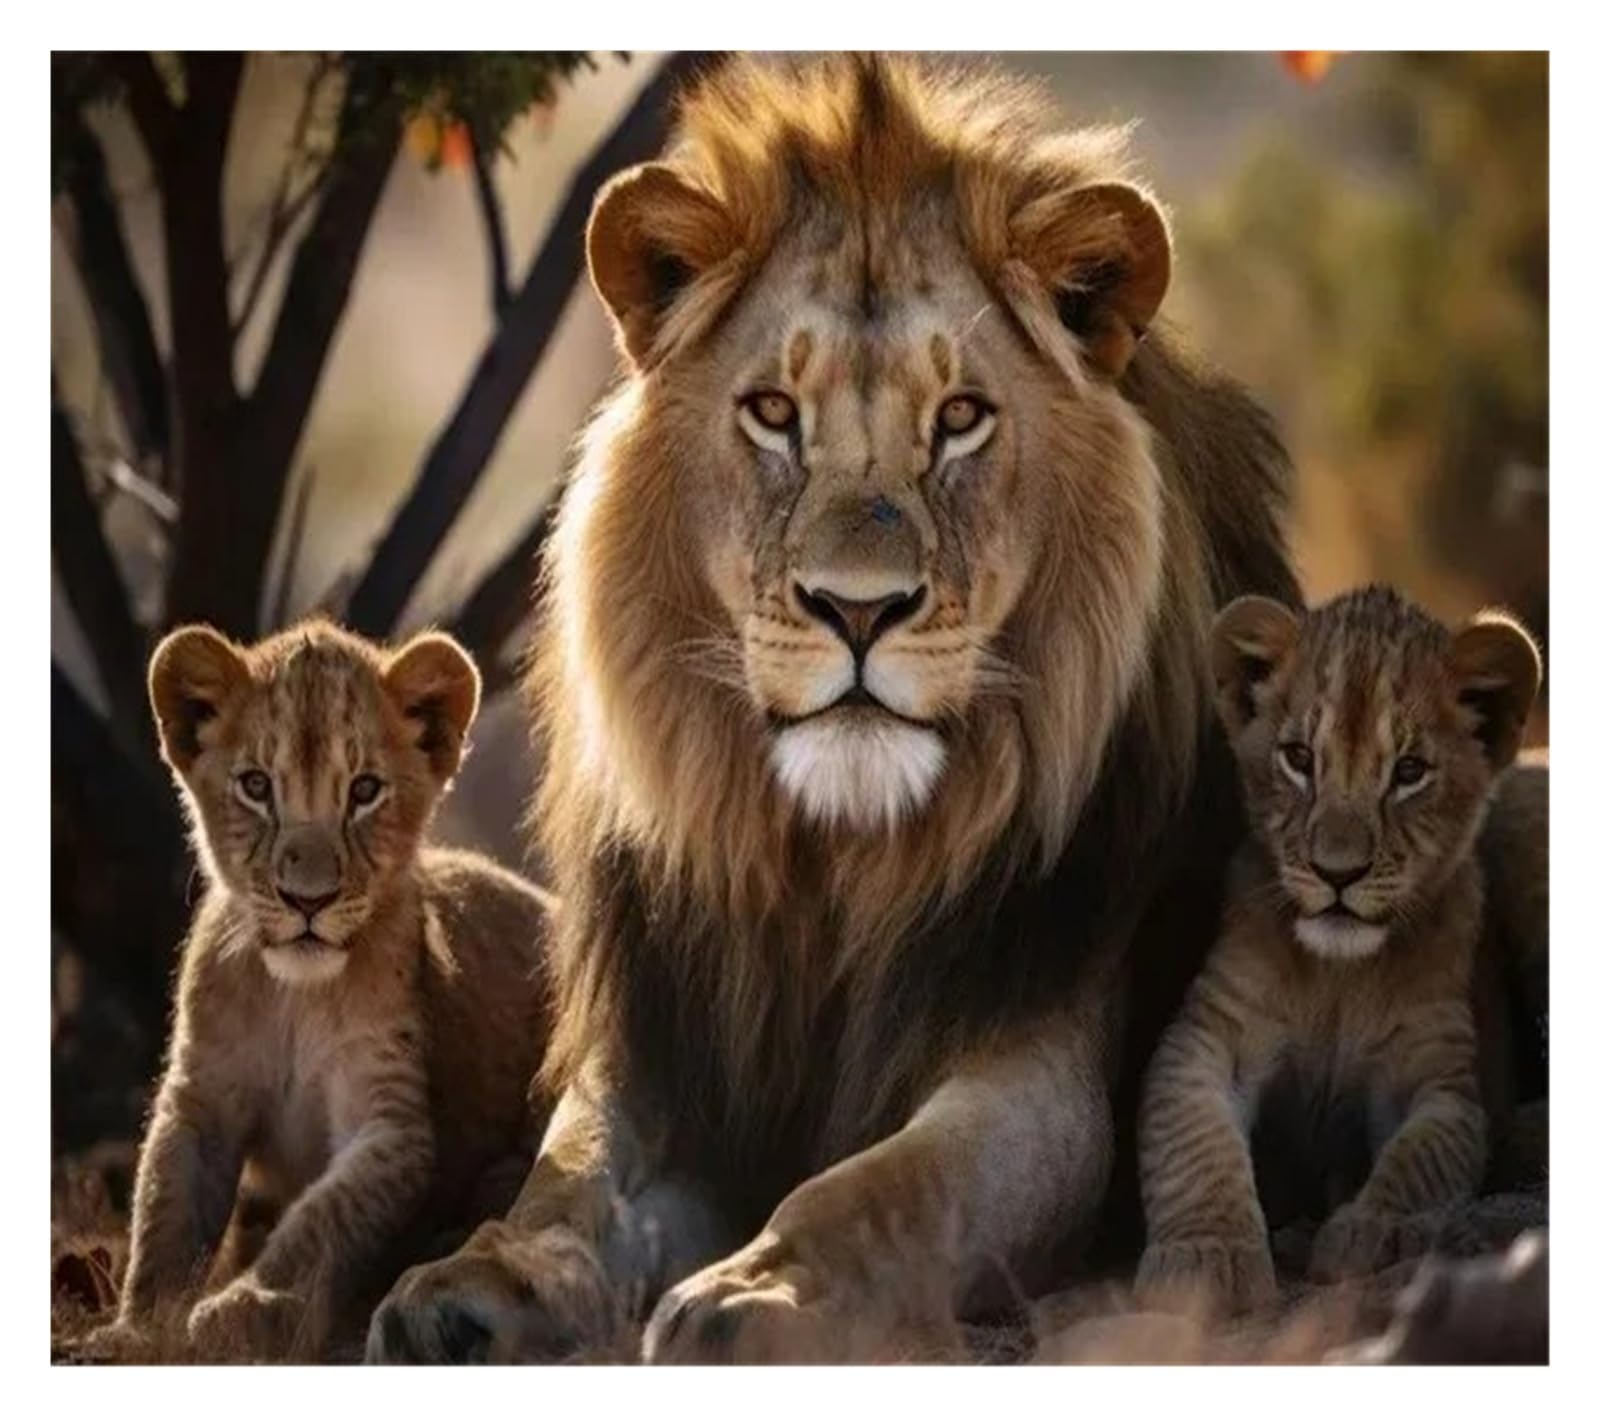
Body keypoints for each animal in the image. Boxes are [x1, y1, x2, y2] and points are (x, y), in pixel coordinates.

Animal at [86, 620, 554, 1361]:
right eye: (256, 786)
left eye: (364, 790)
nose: (308, 899)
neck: (295, 998)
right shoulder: (203, 1092)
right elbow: (166, 1207)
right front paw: (140, 1326)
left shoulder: (392, 1118)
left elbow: (325, 1217)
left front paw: (248, 1303)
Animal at [365, 53, 1302, 1365]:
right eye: (772, 412)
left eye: (959, 417)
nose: (858, 609)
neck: (835, 862)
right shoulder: (667, 1053)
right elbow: (567, 1179)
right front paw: (469, 1286)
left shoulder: (1046, 1071)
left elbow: (879, 1186)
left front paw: (751, 1298)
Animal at [1136, 587, 1541, 1317]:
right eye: (1299, 757)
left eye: (1409, 772)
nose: (1337, 872)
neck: (1338, 976)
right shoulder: (1206, 1035)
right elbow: (1189, 1140)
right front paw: (1205, 1255)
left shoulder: (1438, 1072)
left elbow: (1425, 1156)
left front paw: (1379, 1231)